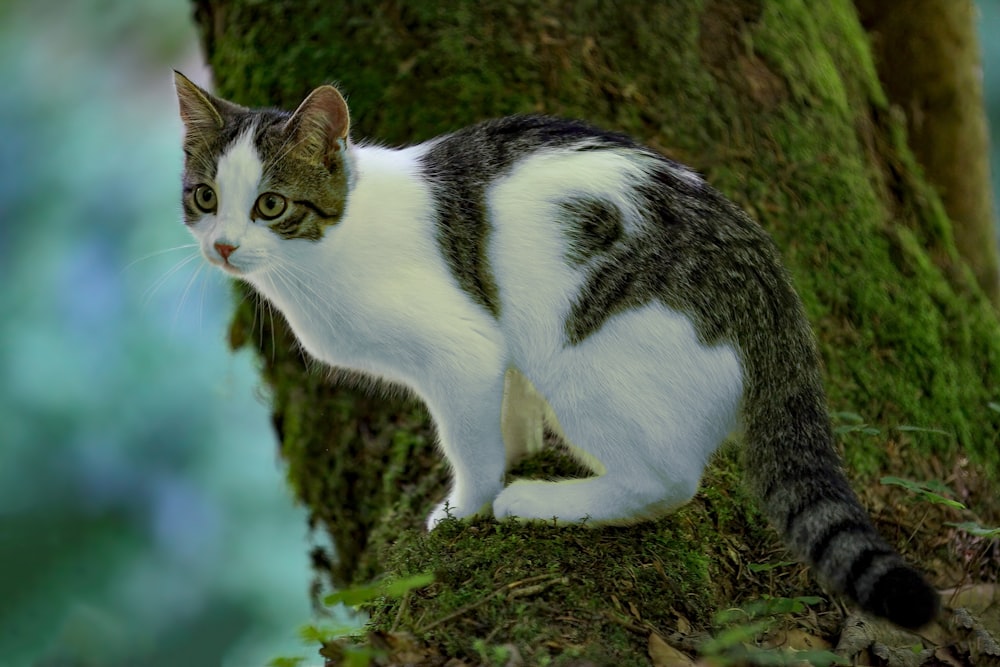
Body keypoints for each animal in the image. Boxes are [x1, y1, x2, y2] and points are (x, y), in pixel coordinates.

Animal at [170, 74, 936, 632]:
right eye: (204, 197)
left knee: (666, 483)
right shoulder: (499, 350)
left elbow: (470, 444)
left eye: (271, 205)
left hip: (579, 361)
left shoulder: (464, 350)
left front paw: (469, 506)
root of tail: (767, 273)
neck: (326, 247)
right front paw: (517, 448)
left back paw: (541, 501)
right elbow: (506, 417)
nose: (224, 247)